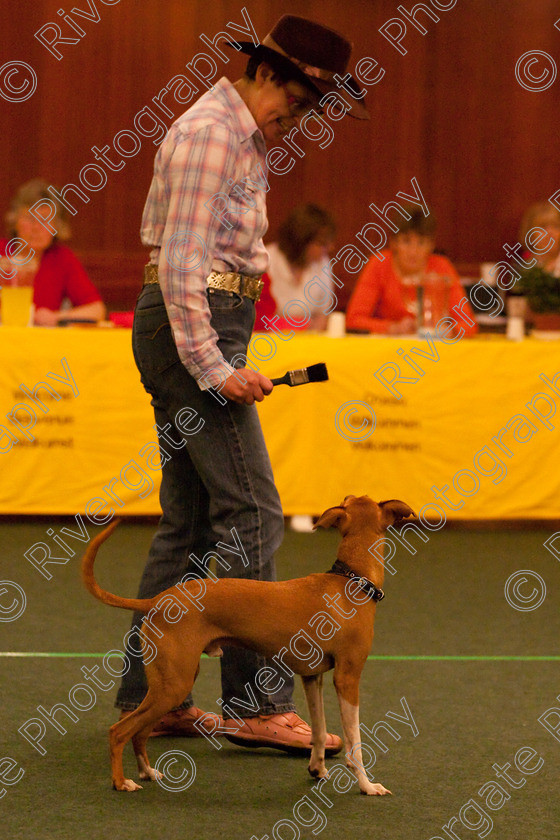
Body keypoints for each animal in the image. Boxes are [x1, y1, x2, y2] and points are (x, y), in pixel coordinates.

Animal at [83, 496, 416, 796]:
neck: (350, 582)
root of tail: (157, 600)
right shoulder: (347, 678)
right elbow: (355, 743)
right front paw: (367, 786)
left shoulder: (312, 677)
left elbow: (320, 731)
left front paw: (317, 769)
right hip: (173, 685)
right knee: (119, 732)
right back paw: (121, 782)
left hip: (170, 683)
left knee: (139, 733)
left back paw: (148, 772)